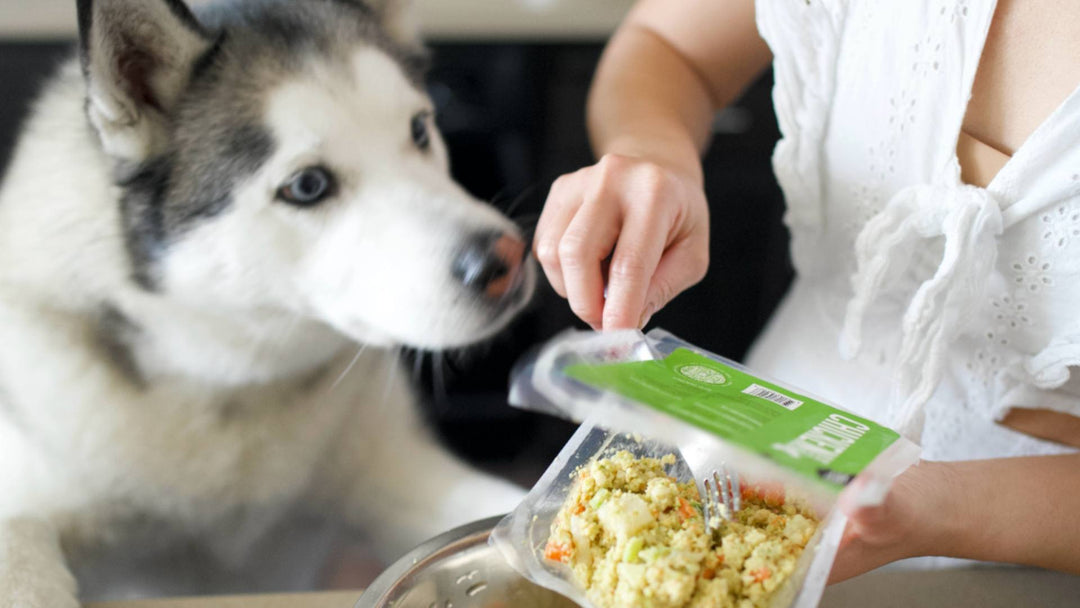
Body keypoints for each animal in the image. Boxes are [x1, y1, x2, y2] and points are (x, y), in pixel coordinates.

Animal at [0, 0, 535, 600]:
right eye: (307, 187)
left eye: (419, 128)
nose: (505, 261)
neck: (232, 385)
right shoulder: (24, 502)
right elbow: (19, 562)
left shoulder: (396, 469)